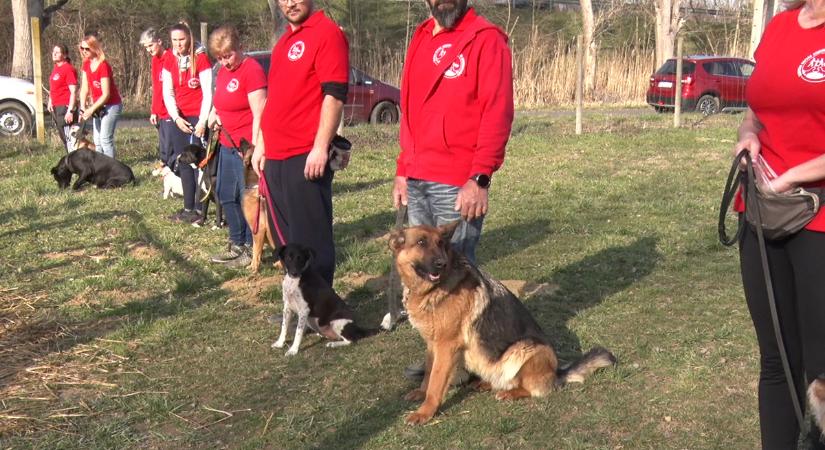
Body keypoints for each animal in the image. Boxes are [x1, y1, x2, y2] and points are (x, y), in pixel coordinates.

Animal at [240, 142, 278, 272]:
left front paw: (253, 268)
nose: (241, 139)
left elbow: (256, 251)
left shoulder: (258, 229)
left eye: (248, 146)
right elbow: (258, 251)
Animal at [390, 221, 616, 426]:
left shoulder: (446, 346)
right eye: (421, 242)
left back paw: (510, 393)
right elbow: (429, 372)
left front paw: (425, 412)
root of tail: (557, 372)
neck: (432, 289)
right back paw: (486, 383)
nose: (441, 264)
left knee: (533, 388)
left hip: (526, 348)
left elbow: (436, 382)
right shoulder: (432, 344)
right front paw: (421, 392)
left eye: (440, 244)